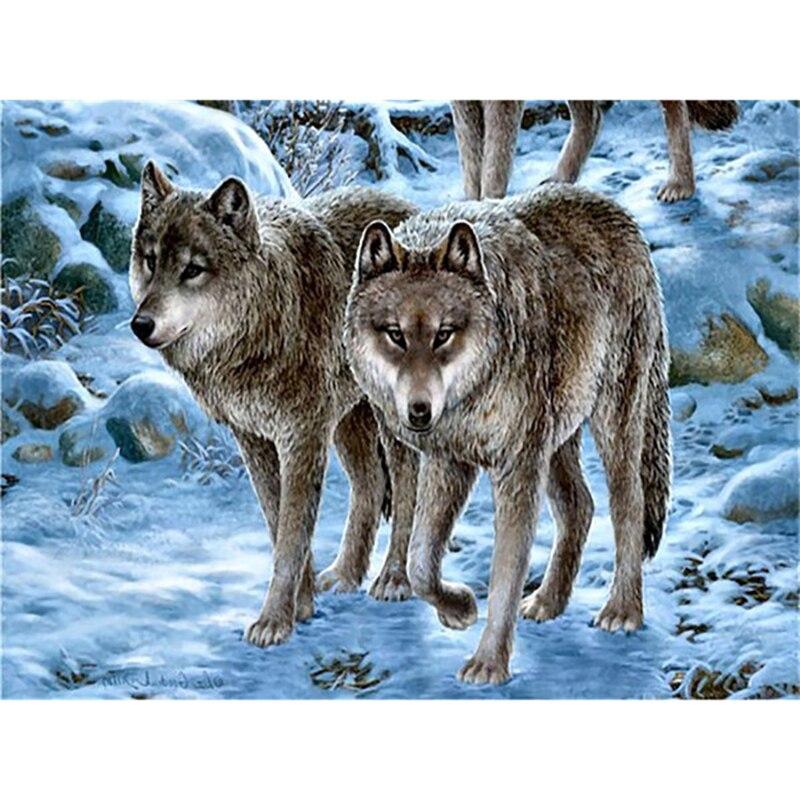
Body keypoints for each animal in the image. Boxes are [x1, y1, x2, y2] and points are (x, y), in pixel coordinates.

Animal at [129, 162, 419, 649]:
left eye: (193, 269)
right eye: (151, 261)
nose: (140, 324)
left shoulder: (302, 438)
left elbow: (290, 537)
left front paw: (274, 621)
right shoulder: (254, 440)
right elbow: (276, 521)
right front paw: (302, 606)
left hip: (390, 422)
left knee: (407, 484)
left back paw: (393, 580)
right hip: (348, 422)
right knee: (370, 484)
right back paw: (344, 576)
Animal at [345, 183, 672, 684]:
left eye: (443, 334)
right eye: (395, 335)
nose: (419, 412)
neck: (473, 392)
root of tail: (619, 215)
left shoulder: (516, 469)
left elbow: (506, 573)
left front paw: (489, 663)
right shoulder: (450, 462)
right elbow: (421, 564)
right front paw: (458, 609)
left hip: (610, 423)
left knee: (628, 504)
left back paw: (623, 611)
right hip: (555, 440)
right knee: (579, 505)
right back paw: (548, 602)